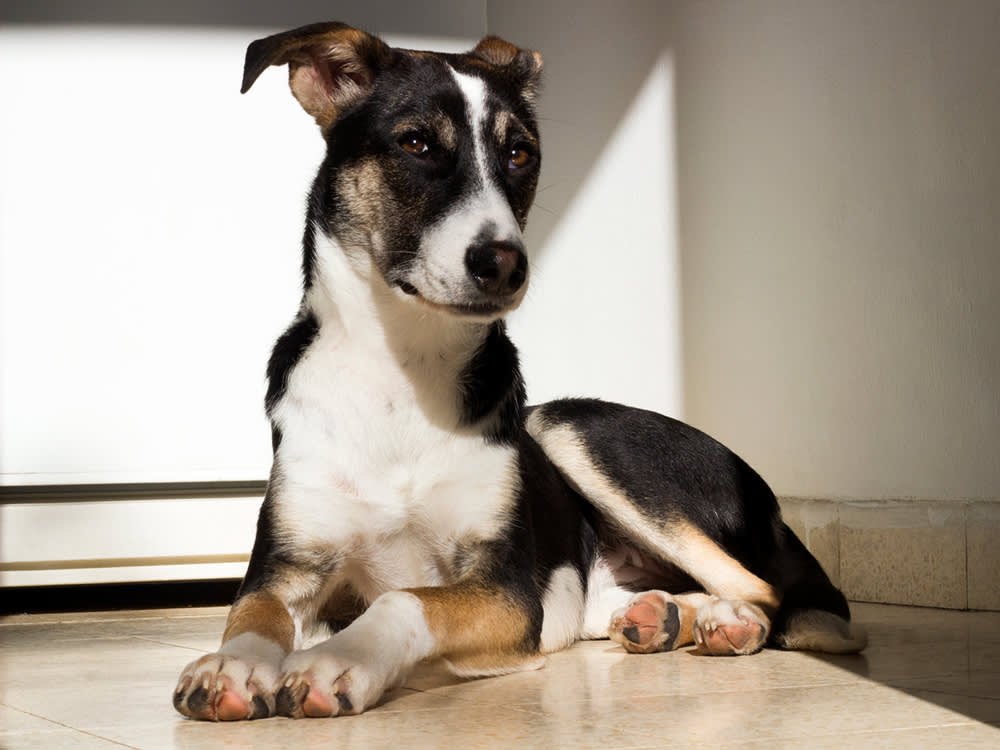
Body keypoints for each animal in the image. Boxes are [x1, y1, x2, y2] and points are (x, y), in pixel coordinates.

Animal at [172, 22, 868, 724]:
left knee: (770, 593)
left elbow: (406, 598)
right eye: (416, 143)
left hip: (573, 428)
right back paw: (664, 616)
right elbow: (252, 615)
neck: (402, 372)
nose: (505, 263)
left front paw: (339, 659)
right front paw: (232, 666)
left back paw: (729, 623)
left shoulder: (504, 589)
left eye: (520, 154)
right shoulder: (287, 564)